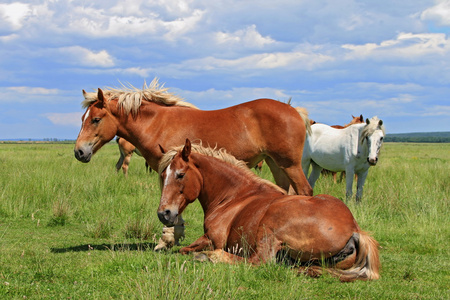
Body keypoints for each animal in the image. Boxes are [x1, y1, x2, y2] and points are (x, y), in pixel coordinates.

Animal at [74, 78, 312, 248]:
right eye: (82, 119)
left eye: (96, 119)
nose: (79, 151)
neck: (157, 124)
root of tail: (295, 111)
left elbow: (173, 202)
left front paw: (168, 238)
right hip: (276, 164)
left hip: (290, 164)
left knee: (304, 190)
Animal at [156, 139, 378, 282]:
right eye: (163, 175)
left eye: (180, 174)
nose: (163, 214)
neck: (234, 196)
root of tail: (355, 230)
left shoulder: (213, 239)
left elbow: (186, 249)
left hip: (269, 227)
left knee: (258, 261)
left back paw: (209, 257)